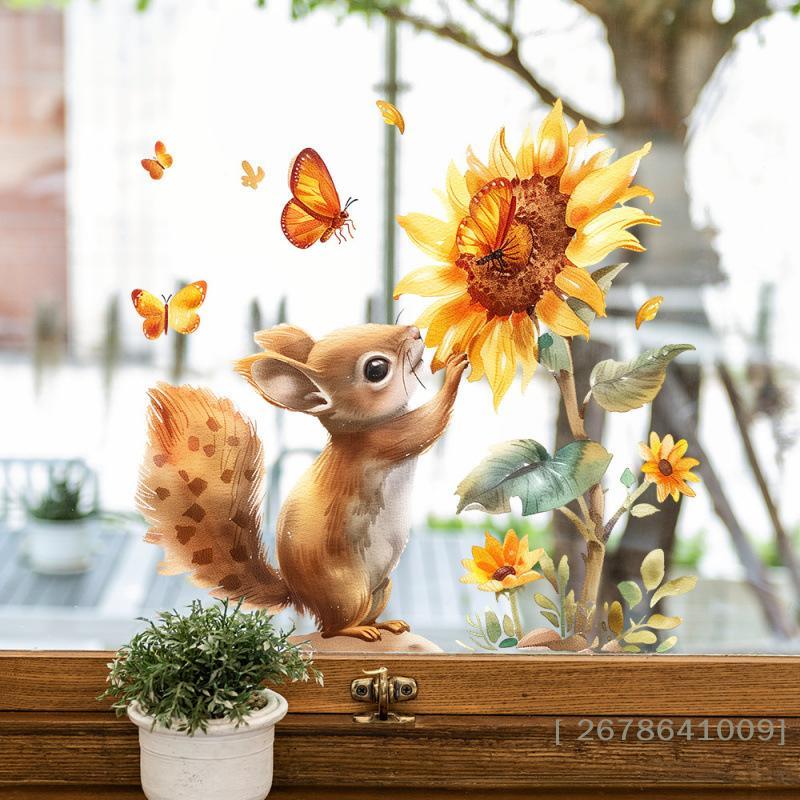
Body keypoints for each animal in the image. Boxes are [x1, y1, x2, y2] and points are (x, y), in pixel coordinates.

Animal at [137, 323, 467, 641]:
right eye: (376, 369)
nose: (415, 332)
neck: (355, 430)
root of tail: (301, 598)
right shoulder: (381, 441)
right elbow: (428, 425)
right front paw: (454, 370)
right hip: (349, 591)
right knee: (331, 628)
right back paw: (357, 630)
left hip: (381, 587)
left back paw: (385, 624)